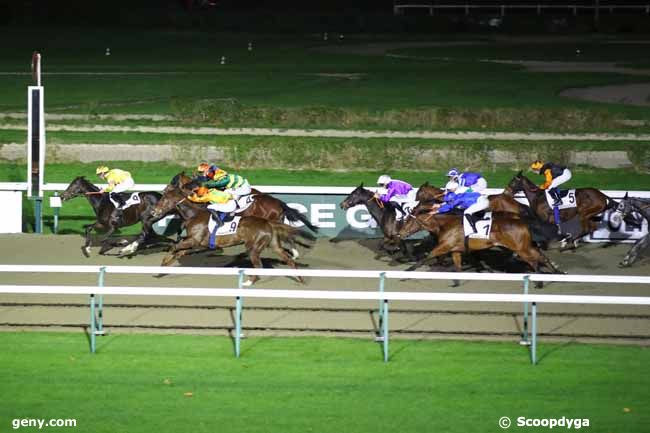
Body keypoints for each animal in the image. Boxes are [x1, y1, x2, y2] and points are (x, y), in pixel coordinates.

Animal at [149, 184, 312, 286]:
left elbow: (174, 248)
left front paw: (161, 268)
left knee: (258, 265)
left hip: (253, 247)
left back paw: (248, 282)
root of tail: (267, 223)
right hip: (273, 244)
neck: (194, 214)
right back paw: (301, 279)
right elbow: (177, 251)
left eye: (164, 198)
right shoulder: (193, 243)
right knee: (288, 259)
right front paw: (162, 269)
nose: (153, 211)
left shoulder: (194, 241)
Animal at [394, 202, 556, 284]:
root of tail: (522, 222)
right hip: (525, 246)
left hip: (521, 248)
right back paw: (555, 273)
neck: (445, 224)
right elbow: (458, 267)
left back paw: (541, 279)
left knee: (534, 260)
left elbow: (426, 257)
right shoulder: (456, 250)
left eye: (408, 221)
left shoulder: (445, 246)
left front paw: (405, 273)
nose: (399, 233)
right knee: (541, 257)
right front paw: (457, 281)